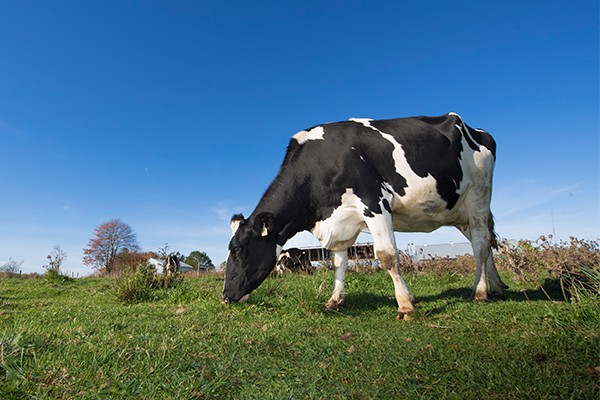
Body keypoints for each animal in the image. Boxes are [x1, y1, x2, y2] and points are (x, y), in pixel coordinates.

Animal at [225, 112, 506, 318]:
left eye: (238, 250)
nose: (225, 296)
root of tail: (477, 130)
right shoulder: (339, 220)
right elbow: (338, 262)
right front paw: (335, 300)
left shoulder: (375, 202)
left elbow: (387, 256)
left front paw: (406, 304)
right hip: (460, 210)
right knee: (483, 242)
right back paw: (497, 287)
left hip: (479, 193)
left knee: (481, 243)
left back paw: (480, 291)